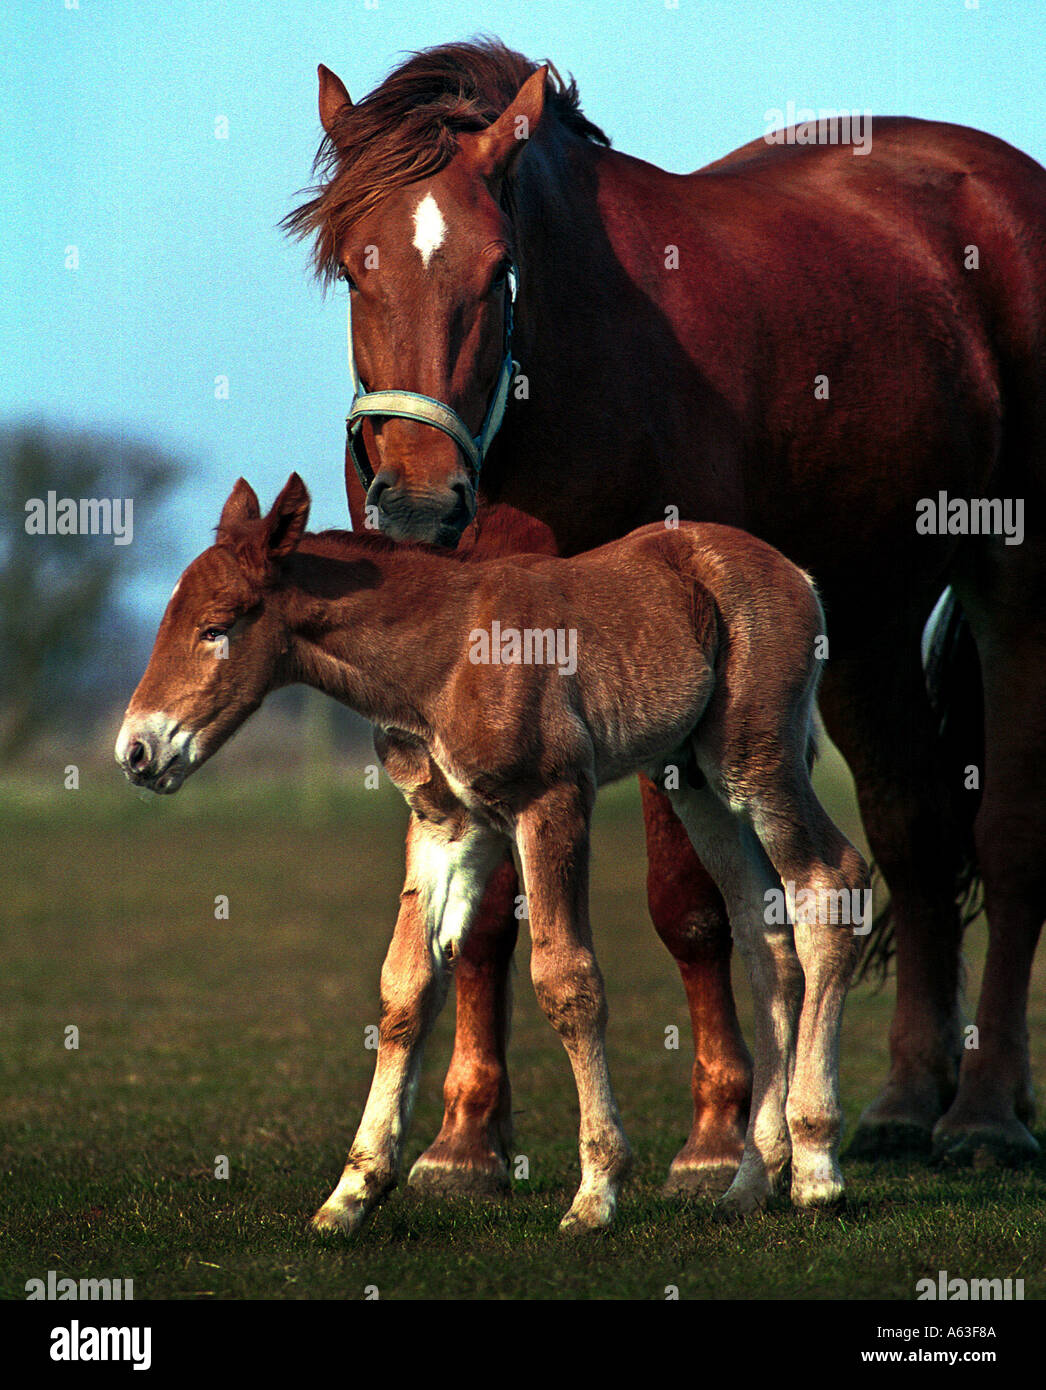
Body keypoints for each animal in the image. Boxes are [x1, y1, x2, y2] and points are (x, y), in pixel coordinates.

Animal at [115, 475, 866, 1228]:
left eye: (217, 627)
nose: (136, 751)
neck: (446, 658)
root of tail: (793, 572)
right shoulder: (446, 826)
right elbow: (406, 985)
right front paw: (351, 1193)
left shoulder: (551, 800)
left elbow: (567, 981)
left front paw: (597, 1191)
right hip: (697, 781)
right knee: (766, 940)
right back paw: (750, 1181)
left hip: (753, 758)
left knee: (829, 879)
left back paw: (815, 1166)